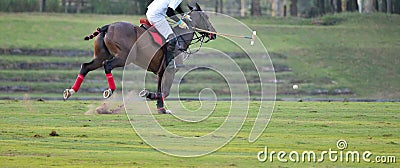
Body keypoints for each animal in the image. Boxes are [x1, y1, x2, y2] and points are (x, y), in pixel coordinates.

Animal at [62, 3, 216, 114]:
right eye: (206, 17)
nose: (213, 34)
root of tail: (107, 26)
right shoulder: (170, 70)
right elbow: (165, 91)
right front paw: (148, 95)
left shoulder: (162, 70)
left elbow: (161, 88)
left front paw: (160, 108)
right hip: (124, 57)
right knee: (107, 65)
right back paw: (110, 90)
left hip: (100, 55)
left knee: (86, 66)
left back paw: (70, 91)